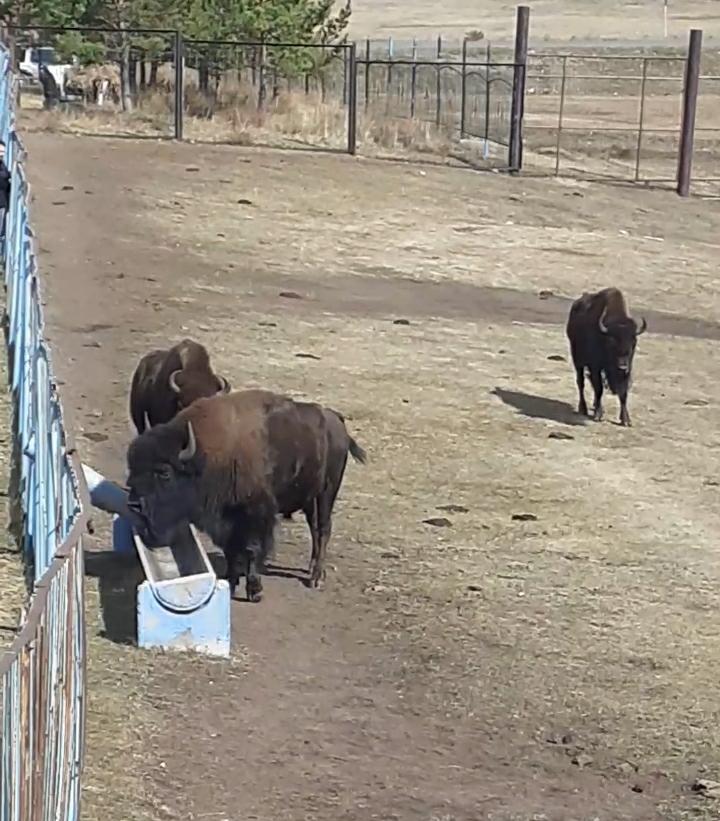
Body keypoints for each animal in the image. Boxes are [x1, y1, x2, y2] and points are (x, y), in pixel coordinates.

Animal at [125, 389, 366, 603]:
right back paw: (311, 569)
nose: (134, 504)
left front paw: (254, 590)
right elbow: (231, 551)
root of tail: (338, 422)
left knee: (324, 529)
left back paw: (316, 578)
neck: (206, 457)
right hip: (310, 499)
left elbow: (251, 549)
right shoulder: (226, 522)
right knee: (315, 530)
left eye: (164, 472)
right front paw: (231, 584)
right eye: (133, 468)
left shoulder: (255, 516)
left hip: (327, 492)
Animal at [566, 287, 647, 427]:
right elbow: (598, 388)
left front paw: (626, 420)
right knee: (581, 382)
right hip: (577, 360)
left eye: (633, 342)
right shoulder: (595, 367)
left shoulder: (627, 370)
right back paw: (583, 408)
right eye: (611, 342)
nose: (622, 367)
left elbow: (623, 393)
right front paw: (598, 415)